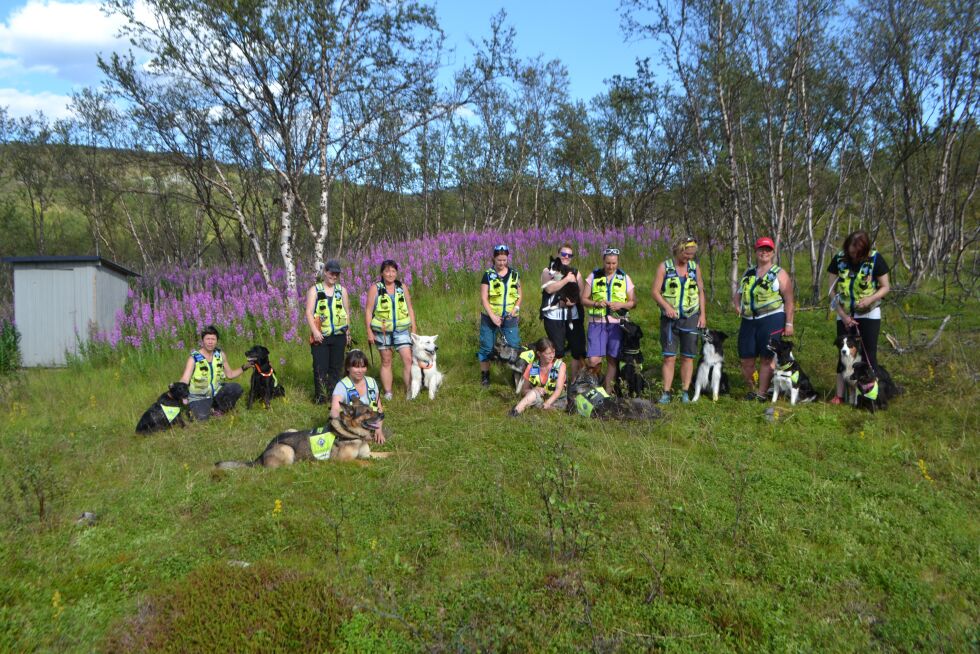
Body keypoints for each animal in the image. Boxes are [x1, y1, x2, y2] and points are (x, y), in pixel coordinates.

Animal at [216, 402, 388, 468]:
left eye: (372, 408)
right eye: (367, 412)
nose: (382, 414)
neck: (352, 433)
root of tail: (263, 453)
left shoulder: (369, 453)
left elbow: (387, 454)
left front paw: (394, 457)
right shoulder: (342, 461)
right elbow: (362, 462)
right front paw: (373, 466)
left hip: (290, 429)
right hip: (287, 450)